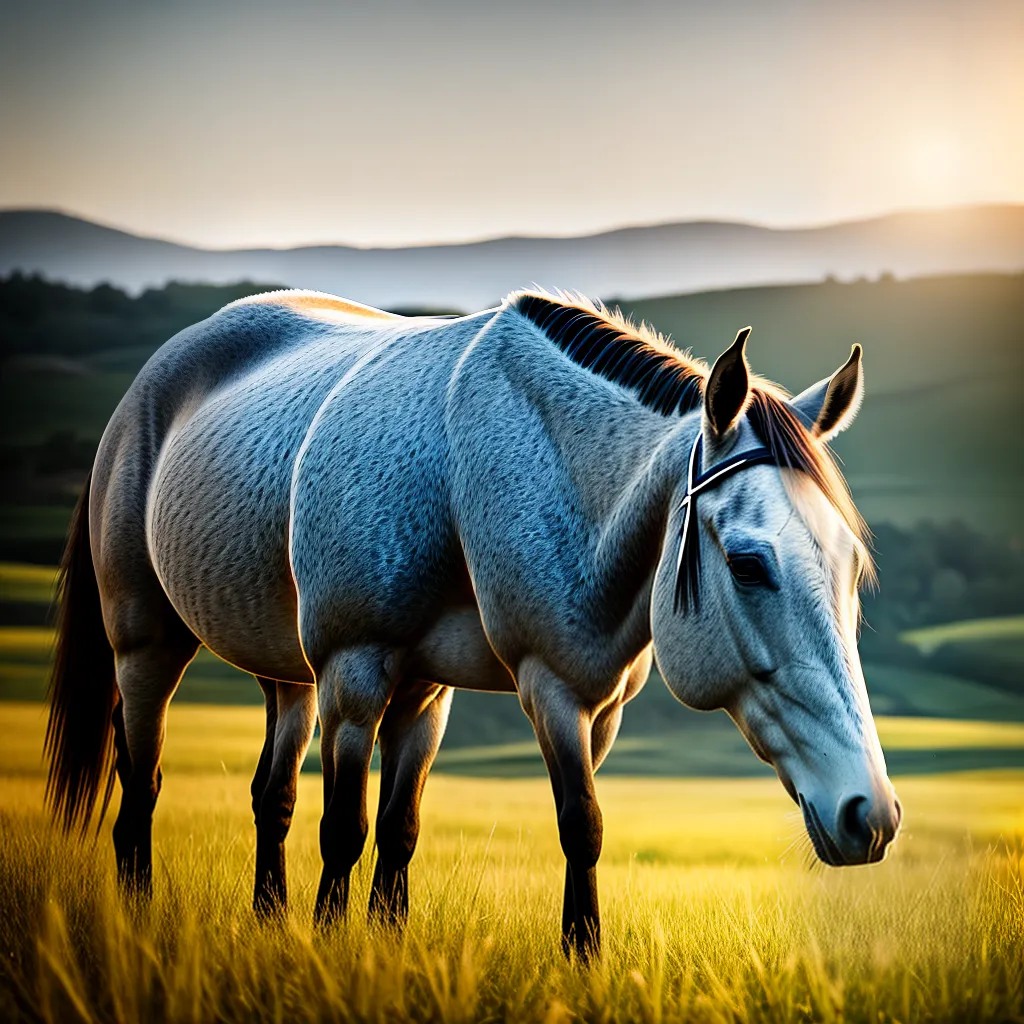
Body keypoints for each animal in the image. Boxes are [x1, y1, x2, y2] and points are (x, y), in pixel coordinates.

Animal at [45, 288, 901, 958]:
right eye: (750, 564)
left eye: (852, 570)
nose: (873, 815)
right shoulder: (377, 674)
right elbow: (357, 827)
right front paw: (330, 951)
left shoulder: (459, 697)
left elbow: (406, 830)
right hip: (149, 647)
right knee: (142, 781)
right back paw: (138, 916)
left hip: (289, 674)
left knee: (272, 795)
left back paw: (267, 922)